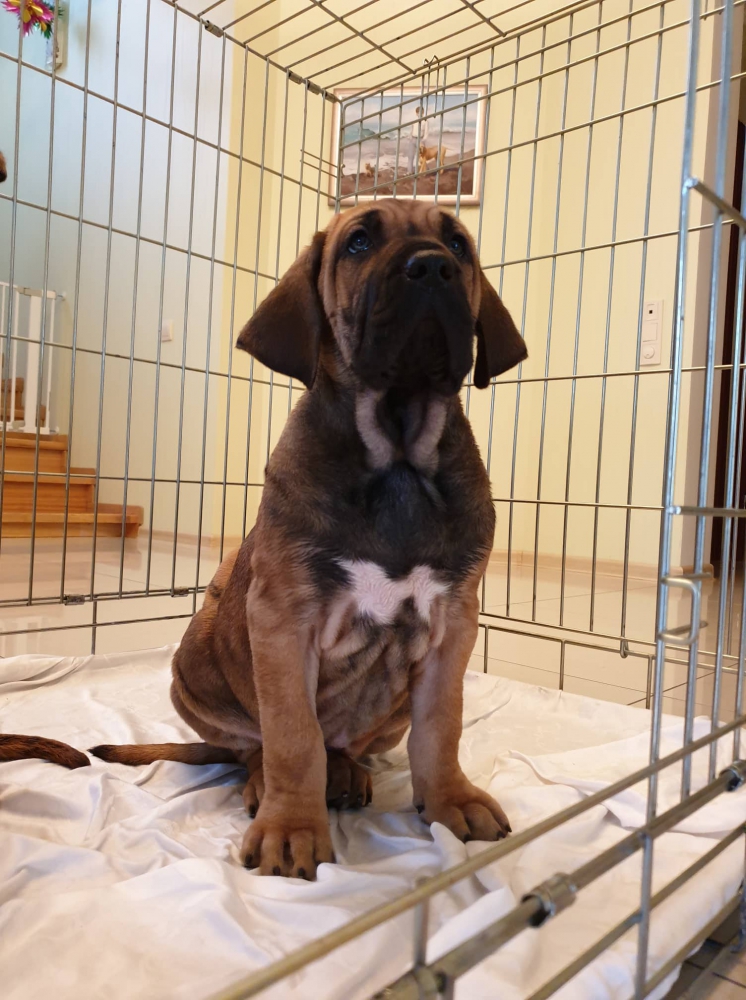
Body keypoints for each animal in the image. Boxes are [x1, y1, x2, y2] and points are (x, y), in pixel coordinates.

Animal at [2, 199, 527, 879]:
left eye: (459, 244)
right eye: (358, 242)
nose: (432, 266)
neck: (396, 456)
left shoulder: (453, 624)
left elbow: (442, 725)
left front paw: (451, 800)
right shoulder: (283, 620)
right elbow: (292, 737)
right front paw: (292, 828)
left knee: (346, 744)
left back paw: (348, 772)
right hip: (195, 657)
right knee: (253, 746)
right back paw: (266, 782)